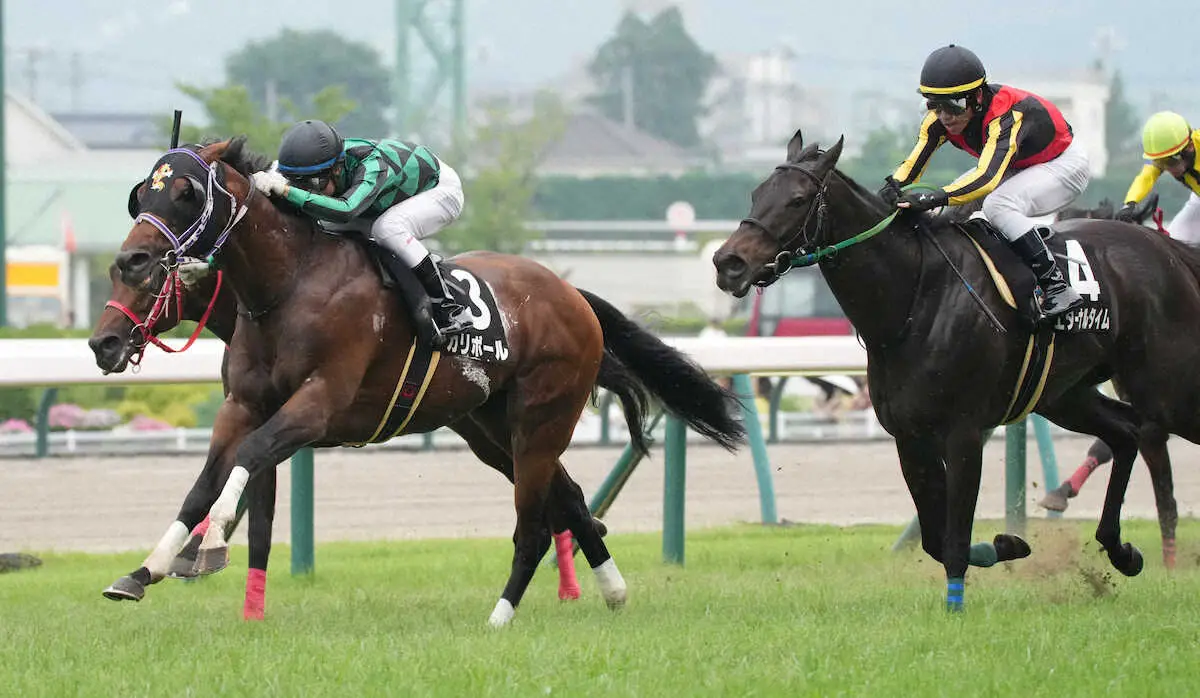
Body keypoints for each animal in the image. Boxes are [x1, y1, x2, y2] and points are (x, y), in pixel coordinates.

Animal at [710, 130, 1200, 614]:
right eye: (756, 193)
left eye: (797, 199)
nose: (727, 263)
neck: (914, 299)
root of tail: (1169, 251)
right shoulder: (909, 436)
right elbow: (936, 536)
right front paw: (1006, 544)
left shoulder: (963, 432)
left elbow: (956, 532)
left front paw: (956, 605)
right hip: (1065, 395)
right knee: (1125, 432)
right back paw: (1121, 550)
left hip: (1168, 387)